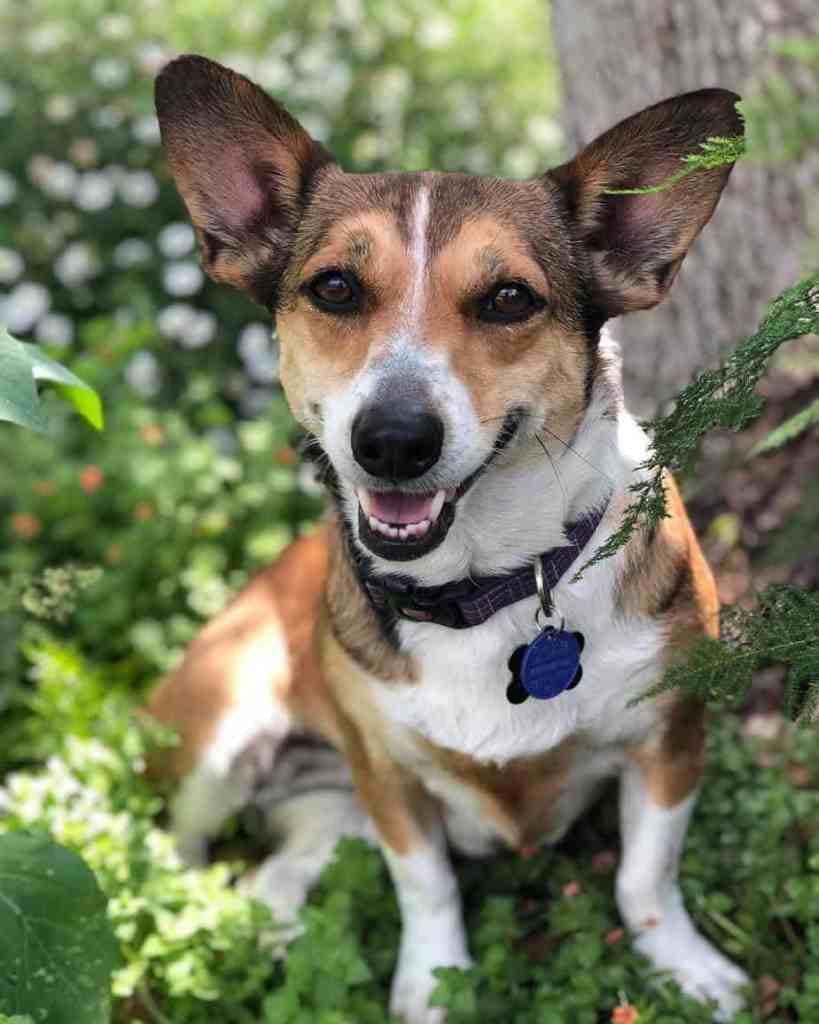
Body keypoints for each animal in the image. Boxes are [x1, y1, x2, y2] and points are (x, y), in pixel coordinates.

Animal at [150, 58, 753, 1024]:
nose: (393, 441)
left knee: (278, 869)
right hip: (218, 739)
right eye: (334, 288)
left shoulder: (669, 735)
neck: (483, 585)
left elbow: (644, 878)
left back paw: (268, 931)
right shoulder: (387, 780)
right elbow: (425, 885)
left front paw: (685, 969)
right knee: (176, 851)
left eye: (509, 299)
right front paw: (432, 983)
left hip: (320, 810)